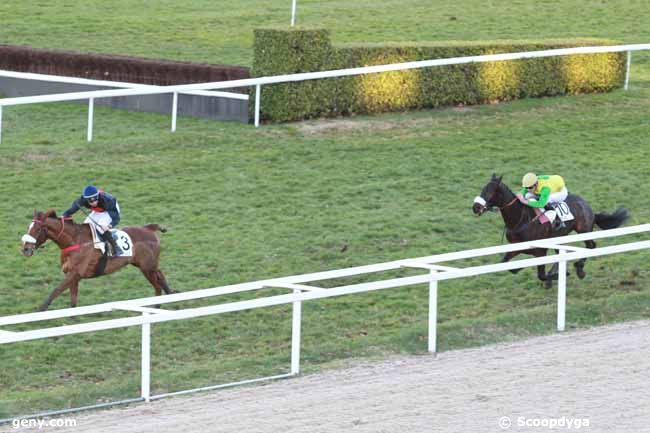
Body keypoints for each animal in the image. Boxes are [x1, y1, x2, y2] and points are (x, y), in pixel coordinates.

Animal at [21, 209, 172, 310]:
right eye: (29, 227)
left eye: (38, 229)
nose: (25, 249)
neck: (74, 241)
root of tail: (149, 228)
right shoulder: (73, 275)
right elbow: (73, 298)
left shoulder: (74, 273)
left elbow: (56, 290)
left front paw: (41, 309)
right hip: (145, 266)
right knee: (160, 280)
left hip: (148, 267)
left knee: (158, 282)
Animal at [470, 174, 628, 288]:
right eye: (483, 189)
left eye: (490, 191)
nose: (476, 207)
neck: (520, 220)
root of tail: (586, 204)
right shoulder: (517, 247)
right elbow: (506, 264)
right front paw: (518, 268)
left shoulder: (540, 250)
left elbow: (541, 274)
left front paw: (556, 276)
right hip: (559, 236)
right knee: (561, 253)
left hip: (584, 230)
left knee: (591, 246)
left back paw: (579, 269)